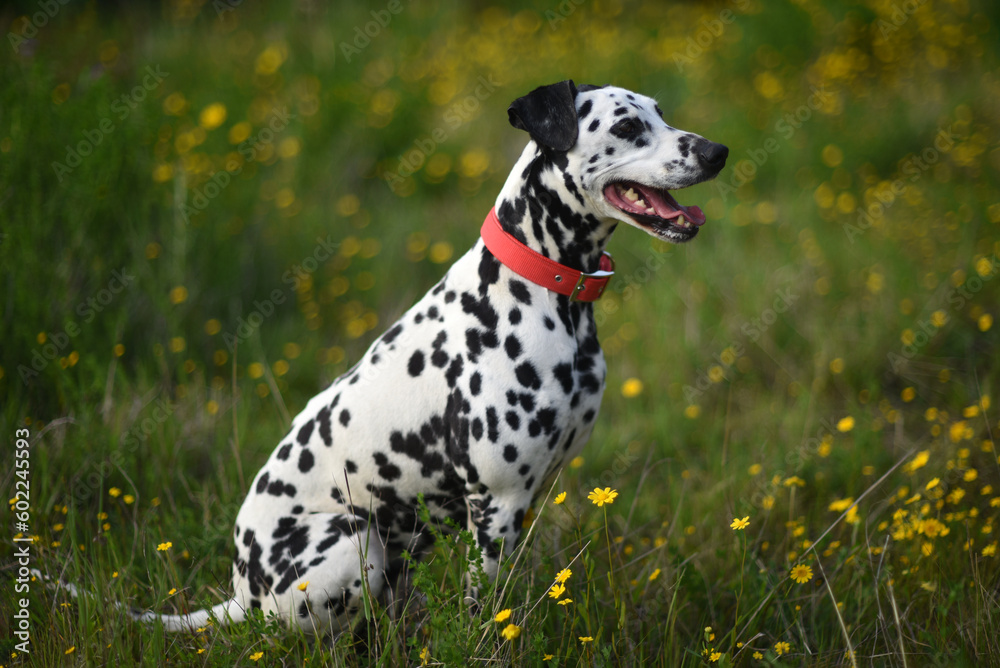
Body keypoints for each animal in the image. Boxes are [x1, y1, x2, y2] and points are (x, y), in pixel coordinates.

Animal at [135, 81, 728, 636]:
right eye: (627, 126)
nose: (717, 151)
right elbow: (485, 610)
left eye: (660, 113)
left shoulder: (528, 498)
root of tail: (242, 595)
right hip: (353, 544)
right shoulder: (496, 504)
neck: (537, 289)